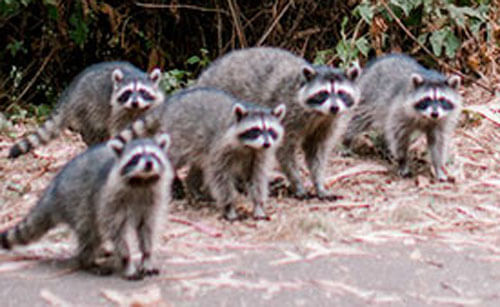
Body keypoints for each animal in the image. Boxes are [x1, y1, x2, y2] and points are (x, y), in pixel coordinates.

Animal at [1, 135, 174, 282]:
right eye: (136, 157)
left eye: (154, 155)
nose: (149, 164)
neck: (142, 181)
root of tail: (53, 190)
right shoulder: (110, 199)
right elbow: (117, 232)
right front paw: (127, 262)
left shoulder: (152, 199)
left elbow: (146, 228)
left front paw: (147, 257)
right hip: (76, 200)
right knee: (90, 231)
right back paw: (87, 261)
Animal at [8, 61, 164, 160]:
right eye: (128, 92)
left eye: (143, 91)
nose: (135, 102)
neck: (136, 110)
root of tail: (71, 92)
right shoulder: (117, 110)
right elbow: (120, 130)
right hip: (87, 106)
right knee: (94, 129)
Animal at [114, 86, 286, 221]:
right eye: (256, 130)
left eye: (270, 130)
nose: (267, 143)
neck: (249, 146)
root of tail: (169, 104)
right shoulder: (221, 146)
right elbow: (220, 176)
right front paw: (229, 206)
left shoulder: (258, 155)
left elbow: (256, 177)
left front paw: (258, 204)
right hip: (178, 134)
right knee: (174, 157)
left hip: (198, 144)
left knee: (199, 164)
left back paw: (193, 188)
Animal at [194, 45, 360, 200]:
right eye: (323, 93)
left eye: (341, 93)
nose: (334, 107)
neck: (320, 114)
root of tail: (202, 78)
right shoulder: (289, 114)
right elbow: (285, 150)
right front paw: (297, 182)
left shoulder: (328, 123)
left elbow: (317, 151)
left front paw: (319, 183)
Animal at [344, 54, 460, 182]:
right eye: (427, 99)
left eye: (442, 100)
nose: (435, 113)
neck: (427, 118)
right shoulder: (400, 110)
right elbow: (399, 137)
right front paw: (403, 161)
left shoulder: (441, 120)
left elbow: (438, 142)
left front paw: (438, 167)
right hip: (369, 95)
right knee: (360, 118)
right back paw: (347, 140)